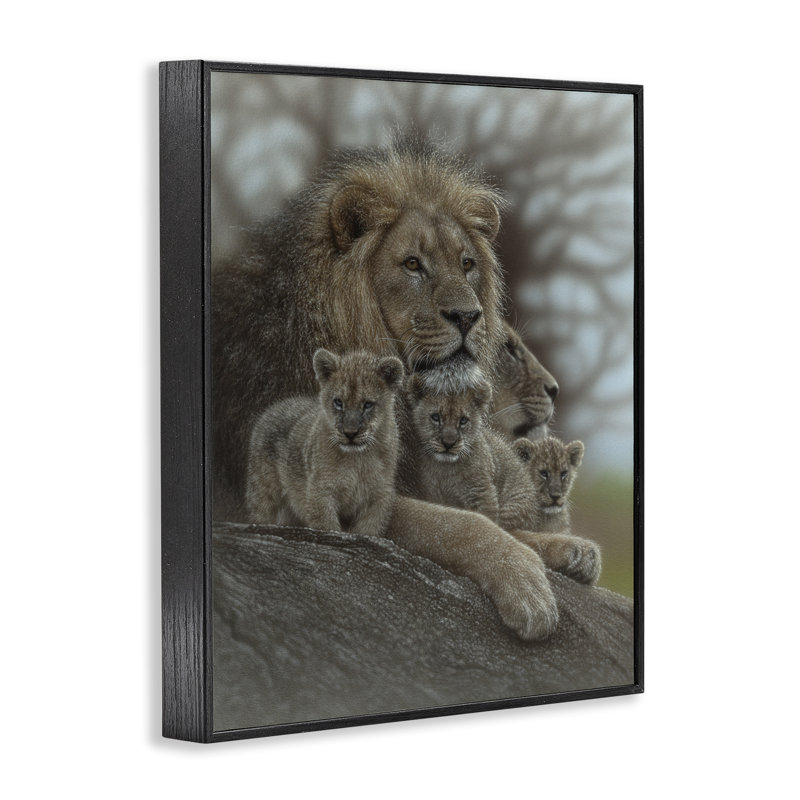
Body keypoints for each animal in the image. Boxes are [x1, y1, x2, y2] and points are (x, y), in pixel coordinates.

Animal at [212, 134, 573, 639]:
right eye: (412, 264)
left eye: (467, 264)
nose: (468, 316)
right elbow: (456, 524)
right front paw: (526, 583)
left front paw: (570, 551)